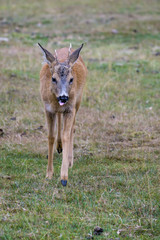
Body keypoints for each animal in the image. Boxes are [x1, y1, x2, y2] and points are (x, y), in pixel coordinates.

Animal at [38, 42, 87, 186]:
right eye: (53, 78)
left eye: (71, 79)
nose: (64, 97)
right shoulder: (48, 108)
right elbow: (50, 137)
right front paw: (49, 174)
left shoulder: (70, 108)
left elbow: (66, 135)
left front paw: (64, 177)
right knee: (60, 118)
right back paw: (59, 147)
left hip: (78, 101)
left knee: (72, 129)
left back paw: (69, 159)